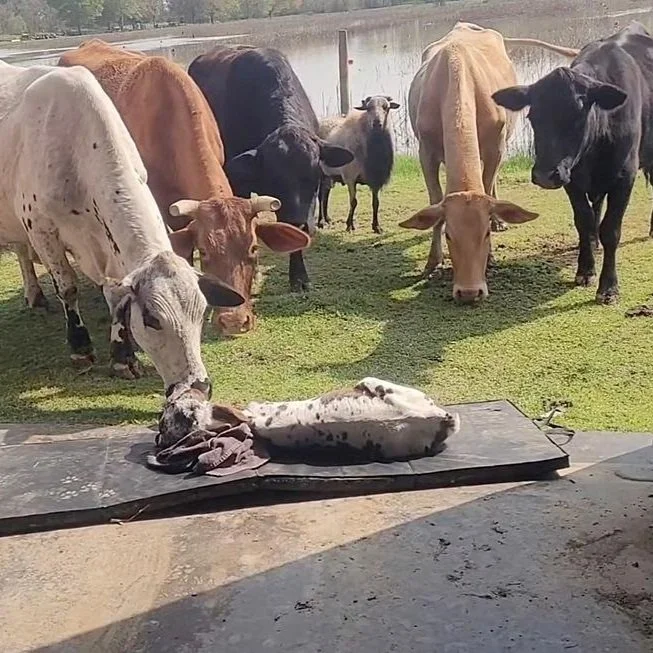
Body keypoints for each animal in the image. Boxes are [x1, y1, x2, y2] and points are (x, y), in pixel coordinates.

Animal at [0, 62, 246, 398]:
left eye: (200, 313)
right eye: (153, 319)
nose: (198, 385)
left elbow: (114, 294)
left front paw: (122, 358)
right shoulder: (40, 228)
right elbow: (68, 287)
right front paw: (81, 349)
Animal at [318, 95, 400, 234]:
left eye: (386, 107)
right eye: (368, 108)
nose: (377, 123)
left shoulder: (375, 180)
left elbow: (376, 203)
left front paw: (377, 227)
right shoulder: (350, 178)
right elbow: (354, 202)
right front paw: (349, 225)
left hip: (328, 174)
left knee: (325, 194)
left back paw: (327, 219)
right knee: (319, 196)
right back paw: (320, 222)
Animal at [399, 22, 579, 303]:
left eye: (484, 234)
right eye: (449, 234)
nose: (469, 292)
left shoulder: (497, 146)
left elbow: (487, 185)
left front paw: (492, 250)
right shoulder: (425, 151)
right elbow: (435, 201)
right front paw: (433, 262)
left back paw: (500, 220)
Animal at [493, 22, 653, 304]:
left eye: (578, 114)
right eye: (533, 116)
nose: (545, 175)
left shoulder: (625, 175)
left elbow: (611, 230)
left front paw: (608, 287)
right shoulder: (572, 179)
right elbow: (584, 222)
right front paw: (585, 270)